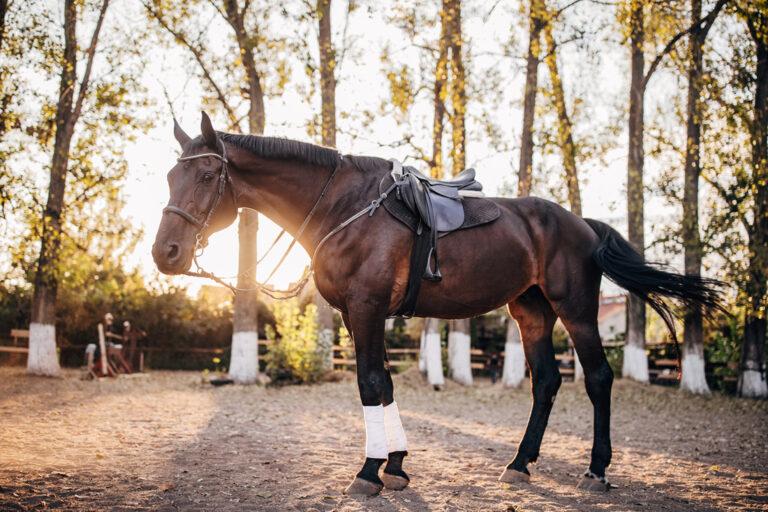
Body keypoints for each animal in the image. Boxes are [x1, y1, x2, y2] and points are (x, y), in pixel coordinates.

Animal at [152, 112, 724, 496]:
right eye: (170, 177)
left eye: (207, 176)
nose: (166, 253)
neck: (343, 208)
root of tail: (582, 224)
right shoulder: (361, 316)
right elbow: (383, 384)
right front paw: (396, 465)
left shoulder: (365, 309)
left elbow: (369, 384)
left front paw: (369, 472)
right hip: (531, 313)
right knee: (546, 382)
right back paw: (520, 463)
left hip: (576, 310)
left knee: (599, 378)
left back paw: (597, 469)